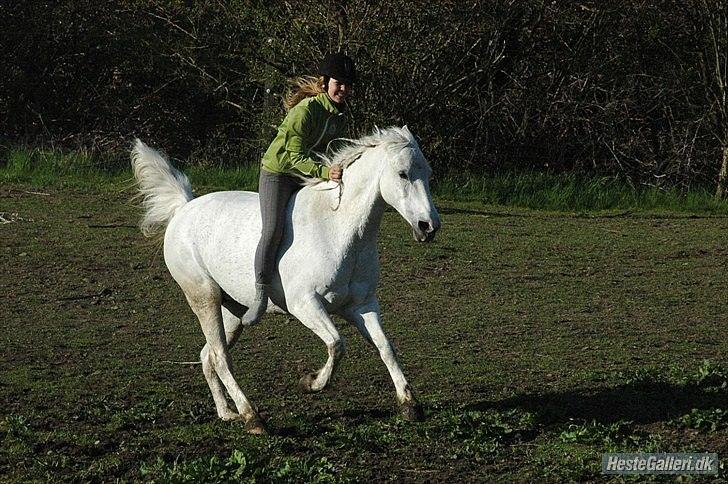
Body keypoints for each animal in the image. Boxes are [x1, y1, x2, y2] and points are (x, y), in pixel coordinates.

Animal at [132, 126, 440, 432]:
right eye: (402, 174)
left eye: (428, 173)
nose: (429, 226)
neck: (337, 229)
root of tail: (184, 209)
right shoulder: (305, 304)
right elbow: (337, 344)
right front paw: (310, 383)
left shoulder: (362, 305)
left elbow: (386, 348)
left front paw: (410, 405)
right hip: (203, 297)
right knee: (220, 357)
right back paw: (252, 417)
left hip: (232, 312)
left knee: (208, 356)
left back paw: (226, 413)